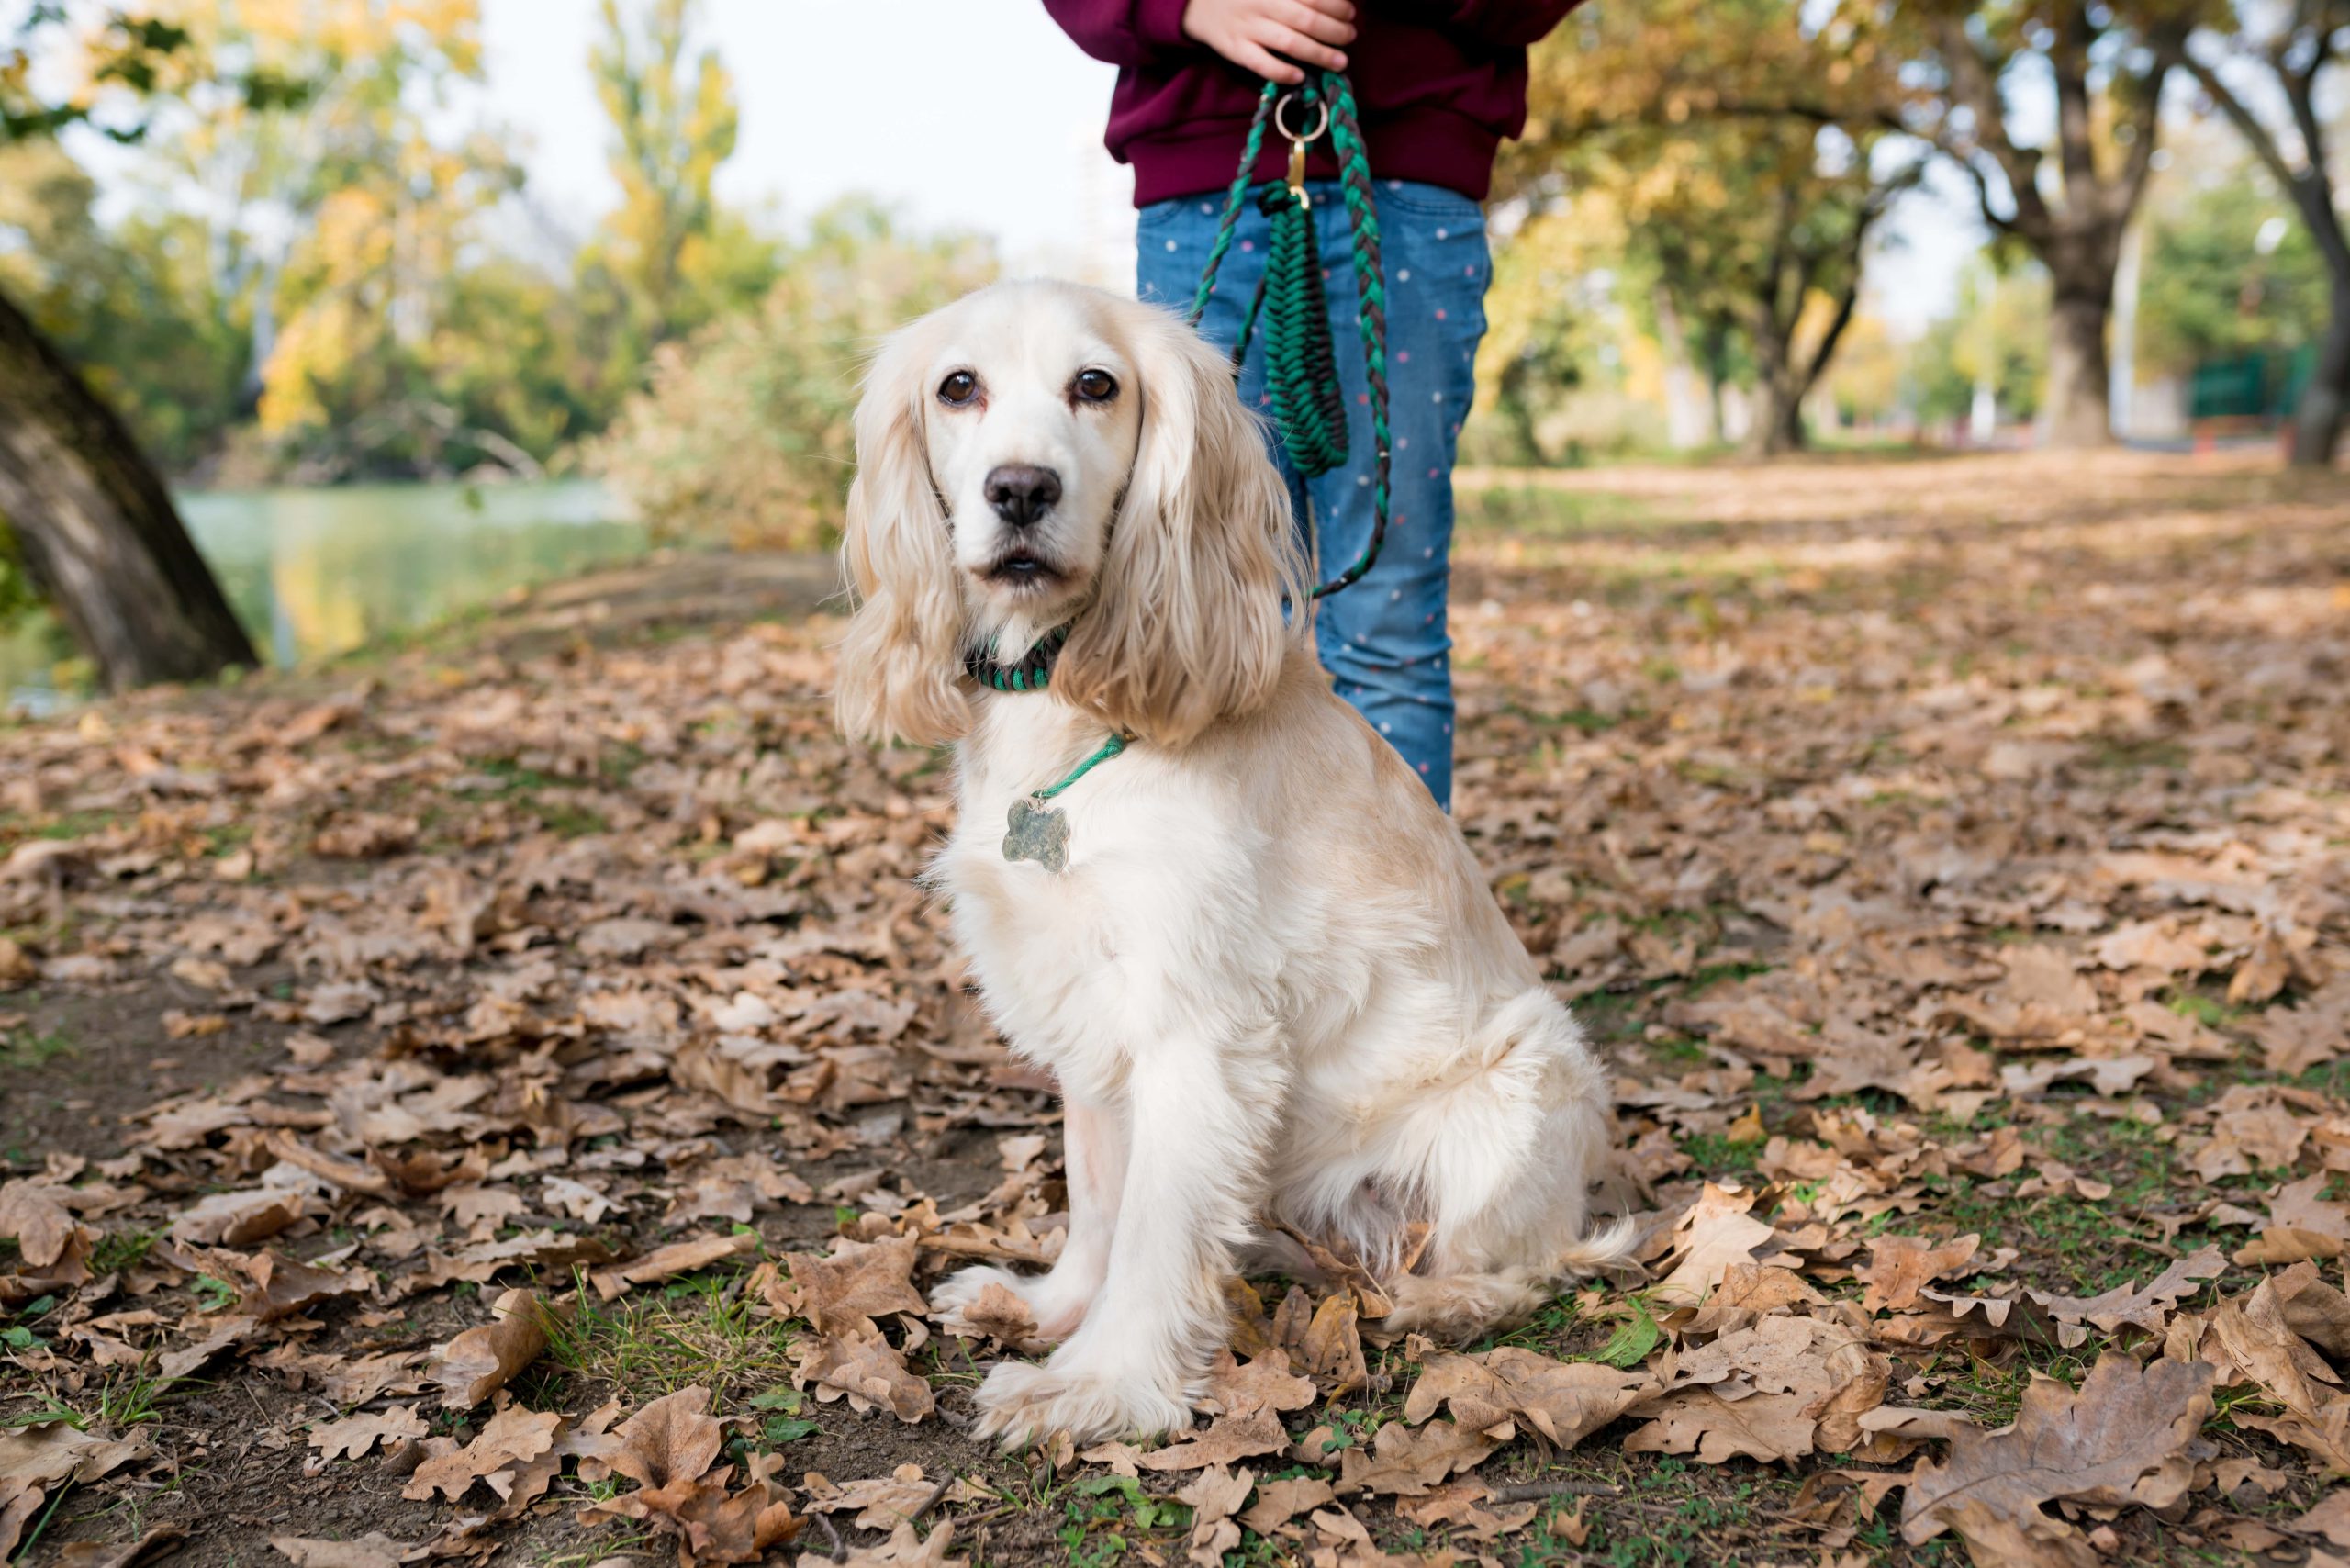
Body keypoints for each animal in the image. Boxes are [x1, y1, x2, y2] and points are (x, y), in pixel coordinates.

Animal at [836, 273, 1626, 1448]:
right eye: (957, 387)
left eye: (1096, 385)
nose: (1019, 490)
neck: (1068, 715)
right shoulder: (1088, 1010)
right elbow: (1099, 1197)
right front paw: (1053, 1308)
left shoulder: (1197, 1028)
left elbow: (1154, 1228)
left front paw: (1100, 1384)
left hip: (1527, 1079)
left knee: (1530, 1265)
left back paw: (1433, 1303)